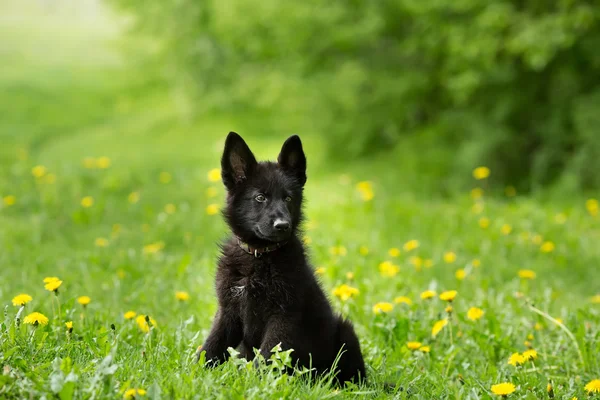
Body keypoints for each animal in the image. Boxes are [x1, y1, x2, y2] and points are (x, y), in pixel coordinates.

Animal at [199, 132, 366, 384]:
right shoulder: (228, 310)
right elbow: (211, 346)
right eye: (260, 197)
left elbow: (268, 355)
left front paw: (257, 384)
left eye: (288, 198)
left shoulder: (283, 315)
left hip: (346, 333)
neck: (259, 256)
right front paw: (191, 374)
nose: (282, 225)